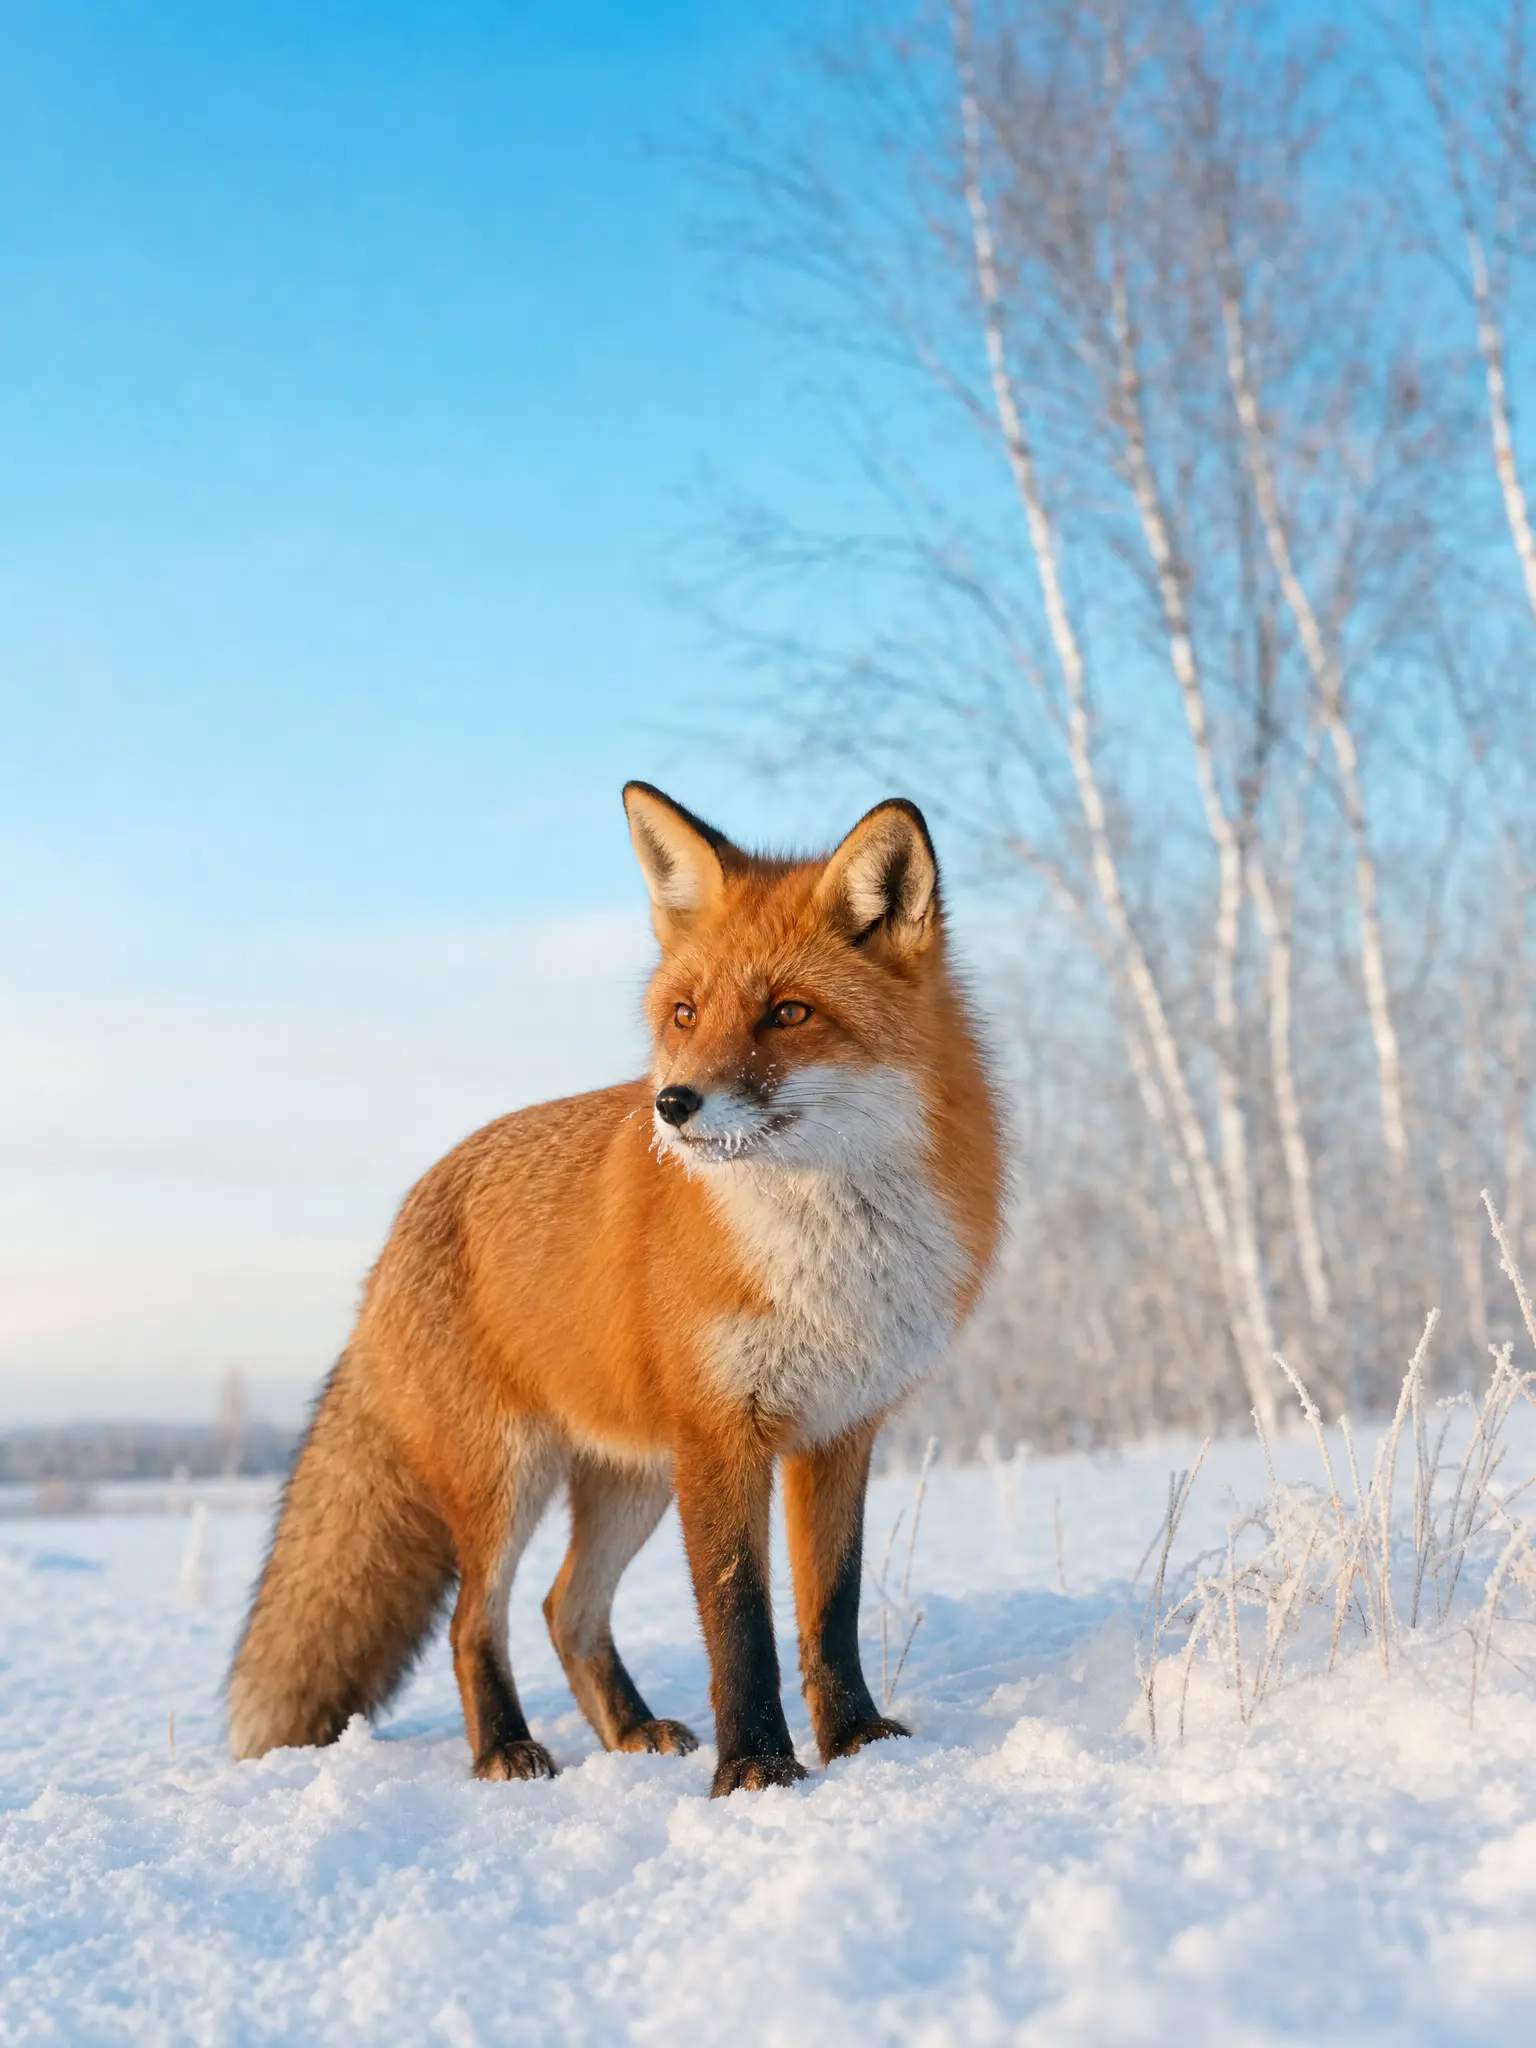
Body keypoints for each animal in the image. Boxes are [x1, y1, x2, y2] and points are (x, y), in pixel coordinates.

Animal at [227, 784, 1003, 1796]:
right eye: (685, 1013)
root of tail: (400, 1225)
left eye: (789, 1012)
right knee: (475, 1620)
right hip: (507, 1478)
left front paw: (858, 1744)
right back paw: (505, 1750)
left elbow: (828, 1613)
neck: (828, 1260)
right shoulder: (722, 1436)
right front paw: (756, 1769)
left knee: (564, 1609)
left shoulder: (839, 1433)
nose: (671, 1104)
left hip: (631, 1481)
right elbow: (739, 1622)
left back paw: (629, 1729)